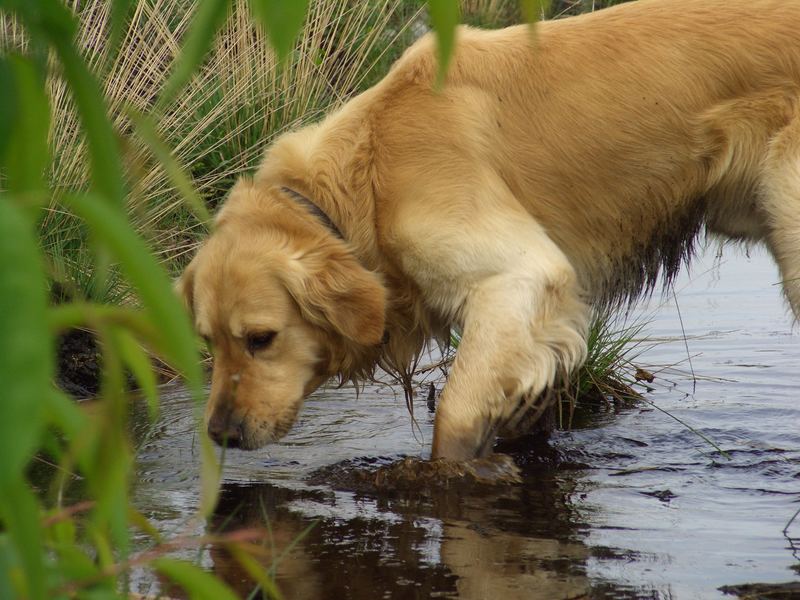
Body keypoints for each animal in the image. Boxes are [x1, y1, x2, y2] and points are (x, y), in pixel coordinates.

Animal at [180, 0, 800, 460]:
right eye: (206, 341)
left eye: (261, 338)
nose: (221, 435)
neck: (370, 173)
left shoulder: (519, 277)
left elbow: (454, 416)